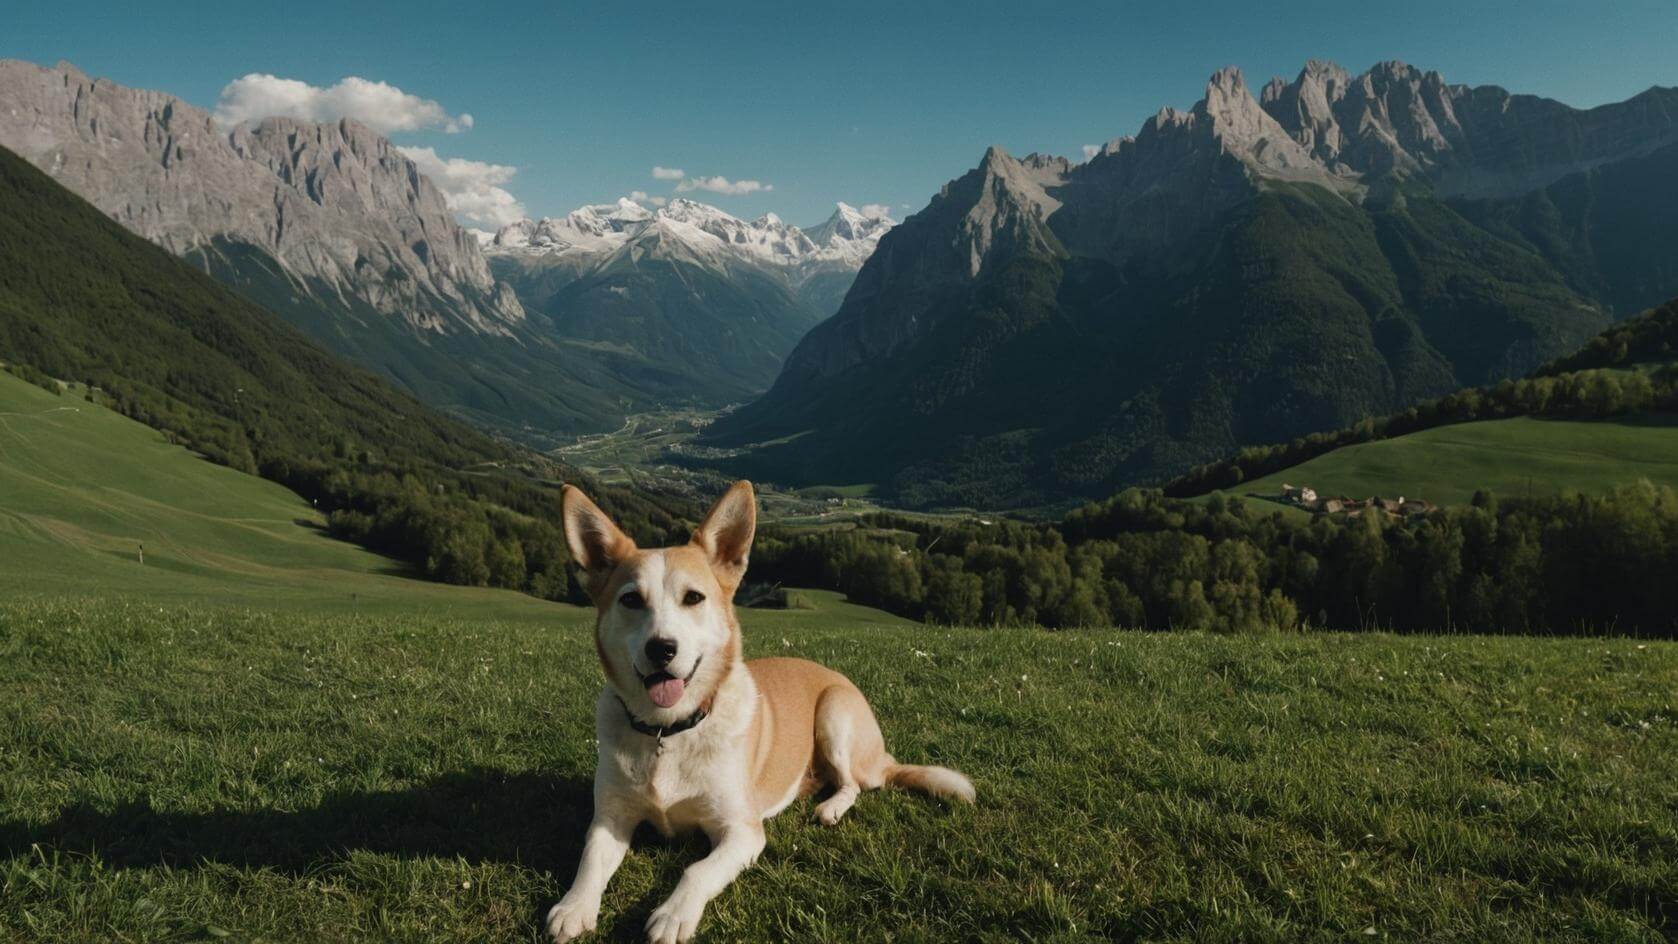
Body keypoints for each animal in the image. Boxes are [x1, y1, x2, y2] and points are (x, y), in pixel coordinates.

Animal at [543, 482, 979, 938]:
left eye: (693, 598)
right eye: (630, 599)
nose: (661, 648)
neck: (670, 730)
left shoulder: (743, 832)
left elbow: (696, 871)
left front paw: (673, 914)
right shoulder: (610, 818)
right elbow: (591, 859)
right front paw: (573, 906)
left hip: (834, 713)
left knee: (856, 784)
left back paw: (830, 806)